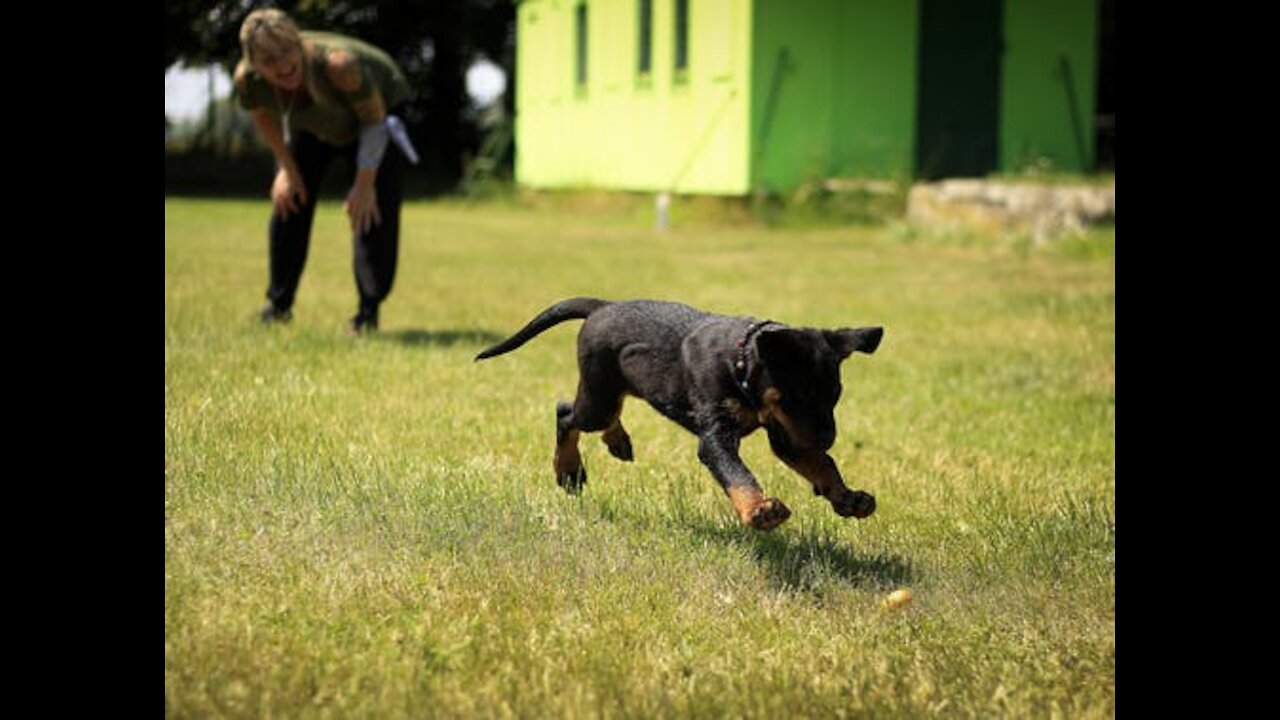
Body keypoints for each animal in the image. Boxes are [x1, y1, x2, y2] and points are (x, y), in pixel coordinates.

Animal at [476, 295, 885, 527]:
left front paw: (848, 498)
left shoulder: (787, 434)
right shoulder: (718, 435)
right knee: (566, 413)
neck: (740, 363)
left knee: (605, 414)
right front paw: (759, 511)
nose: (827, 437)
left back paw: (617, 442)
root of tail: (602, 306)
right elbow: (738, 474)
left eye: (835, 395)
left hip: (613, 390)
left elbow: (822, 465)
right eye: (798, 396)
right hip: (598, 397)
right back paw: (569, 470)